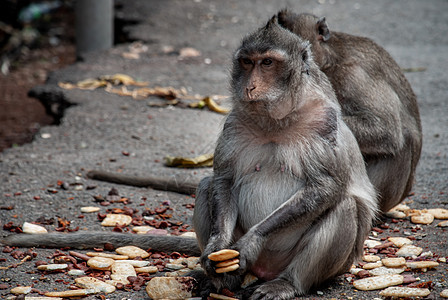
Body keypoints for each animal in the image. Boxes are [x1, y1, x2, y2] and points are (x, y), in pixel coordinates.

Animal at [193, 17, 378, 300]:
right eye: (247, 62)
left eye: (267, 63)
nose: (249, 86)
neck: (277, 122)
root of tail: (264, 270)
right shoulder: (234, 123)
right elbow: (224, 180)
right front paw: (216, 245)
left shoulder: (324, 124)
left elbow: (325, 187)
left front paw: (251, 241)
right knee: (206, 185)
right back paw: (222, 281)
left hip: (327, 265)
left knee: (344, 206)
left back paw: (288, 283)